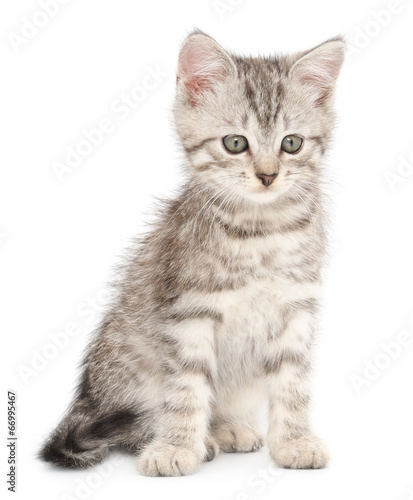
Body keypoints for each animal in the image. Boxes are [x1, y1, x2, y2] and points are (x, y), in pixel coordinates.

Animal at [40, 30, 344, 476]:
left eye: (292, 143)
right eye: (235, 143)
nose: (268, 175)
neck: (261, 231)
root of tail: (87, 398)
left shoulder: (296, 309)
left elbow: (293, 383)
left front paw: (294, 441)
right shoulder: (189, 312)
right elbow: (186, 388)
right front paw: (176, 447)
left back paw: (226, 426)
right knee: (131, 420)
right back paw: (178, 437)